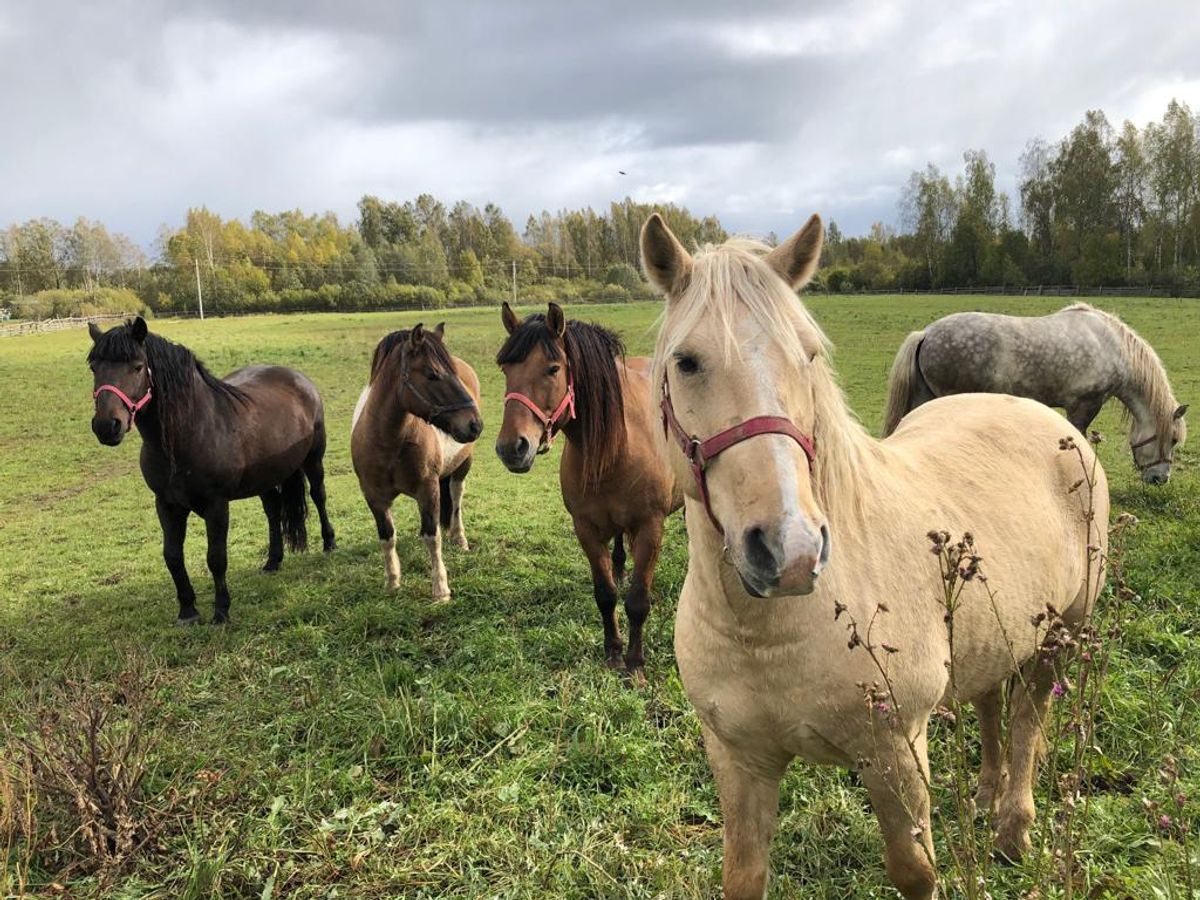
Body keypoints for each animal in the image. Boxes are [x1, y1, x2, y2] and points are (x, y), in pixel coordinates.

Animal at [87, 319, 336, 628]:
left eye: (137, 366)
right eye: (94, 367)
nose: (106, 426)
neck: (189, 433)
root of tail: (299, 378)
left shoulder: (217, 506)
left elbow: (216, 558)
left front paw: (221, 612)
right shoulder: (166, 505)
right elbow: (172, 556)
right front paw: (187, 611)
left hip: (314, 461)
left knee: (318, 496)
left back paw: (329, 543)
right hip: (266, 478)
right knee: (273, 510)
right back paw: (272, 561)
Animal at [350, 321, 480, 600]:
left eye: (452, 373)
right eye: (432, 374)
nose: (475, 424)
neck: (389, 442)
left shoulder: (427, 490)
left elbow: (431, 536)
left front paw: (440, 589)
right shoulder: (373, 497)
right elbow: (387, 537)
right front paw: (392, 582)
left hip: (463, 465)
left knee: (456, 496)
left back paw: (459, 537)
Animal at [494, 303, 686, 676]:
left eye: (552, 368)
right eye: (505, 368)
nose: (512, 448)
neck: (617, 447)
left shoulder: (650, 527)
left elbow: (638, 601)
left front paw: (635, 664)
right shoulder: (586, 528)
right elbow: (605, 594)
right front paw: (613, 652)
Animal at [643, 217, 1108, 900]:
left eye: (808, 354)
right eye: (687, 361)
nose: (789, 549)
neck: (773, 633)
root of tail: (1051, 422)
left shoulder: (894, 753)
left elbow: (915, 872)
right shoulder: (739, 760)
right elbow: (743, 874)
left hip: (1062, 634)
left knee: (1028, 720)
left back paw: (1012, 832)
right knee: (993, 704)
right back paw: (984, 799)